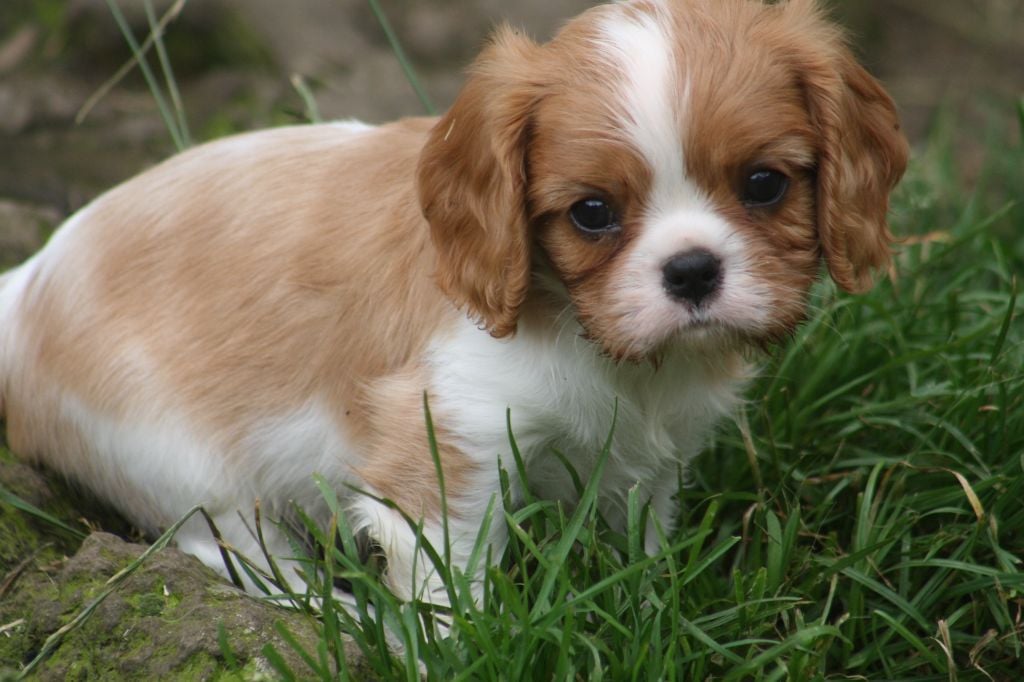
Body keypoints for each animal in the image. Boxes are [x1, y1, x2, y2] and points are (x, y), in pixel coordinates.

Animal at [4, 1, 909, 602]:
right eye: (591, 213)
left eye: (764, 185)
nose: (692, 272)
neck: (592, 341)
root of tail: (26, 284)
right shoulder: (447, 441)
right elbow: (452, 585)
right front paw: (457, 648)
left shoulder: (649, 465)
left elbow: (641, 543)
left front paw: (649, 606)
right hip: (181, 464)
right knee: (233, 551)